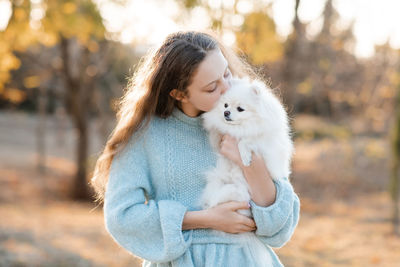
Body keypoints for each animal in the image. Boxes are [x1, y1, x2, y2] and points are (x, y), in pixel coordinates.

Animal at [199, 77, 294, 267]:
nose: (226, 113)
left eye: (240, 109)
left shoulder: (263, 143)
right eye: (225, 104)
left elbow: (246, 142)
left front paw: (245, 157)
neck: (243, 127)